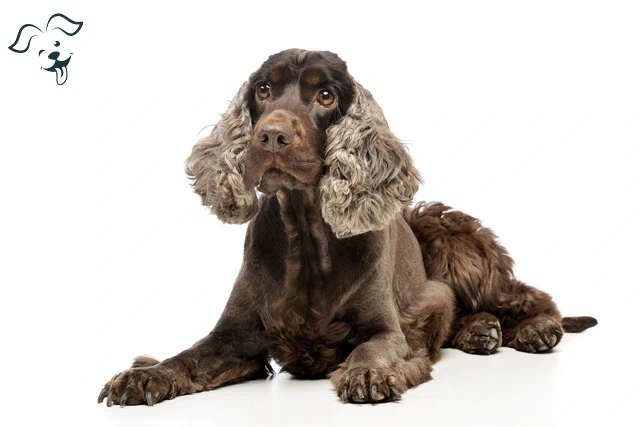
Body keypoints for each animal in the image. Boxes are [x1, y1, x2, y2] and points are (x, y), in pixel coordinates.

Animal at [97, 48, 596, 406]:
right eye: (263, 89)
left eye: (325, 96)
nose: (271, 136)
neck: (305, 237)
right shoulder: (234, 337)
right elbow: (185, 358)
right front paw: (143, 376)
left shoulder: (387, 329)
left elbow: (372, 348)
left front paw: (367, 372)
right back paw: (480, 332)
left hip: (453, 241)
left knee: (527, 297)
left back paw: (535, 330)